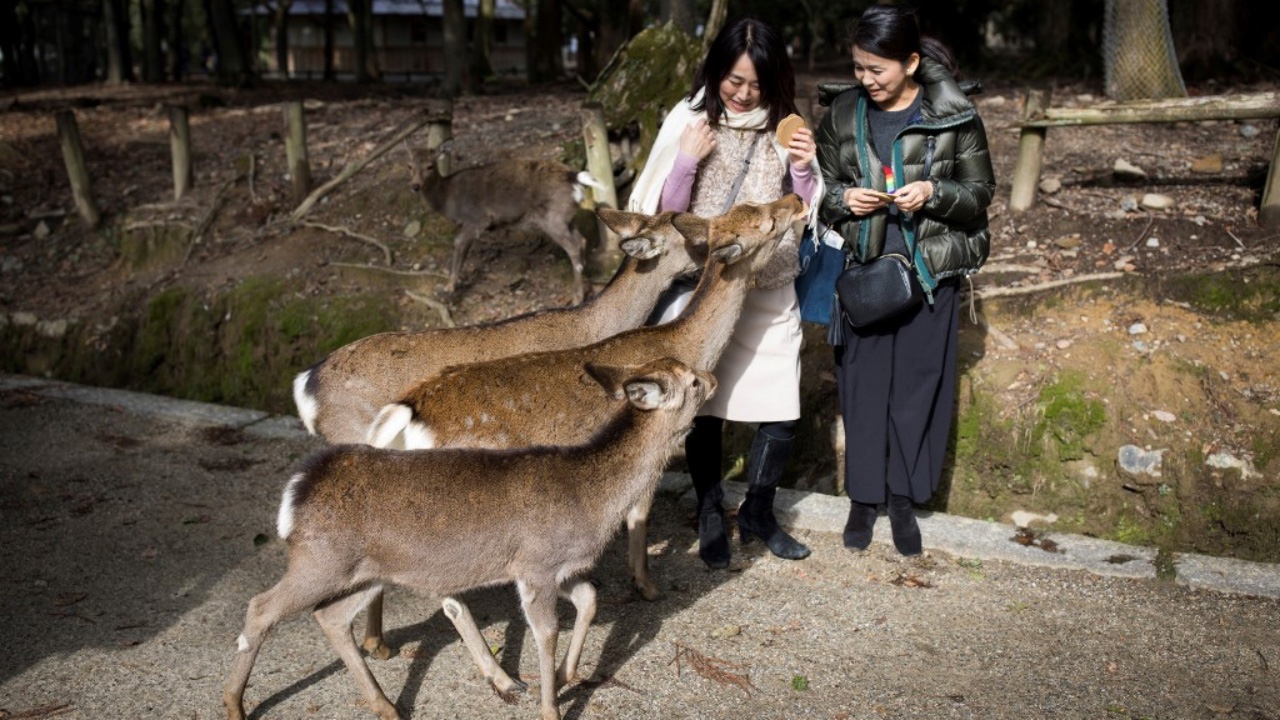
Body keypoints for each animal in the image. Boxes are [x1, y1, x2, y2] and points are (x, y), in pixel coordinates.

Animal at [224, 356, 716, 717]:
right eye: (692, 381)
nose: (713, 379)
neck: (593, 499)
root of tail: (297, 491)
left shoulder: (560, 568)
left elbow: (590, 600)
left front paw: (566, 676)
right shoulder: (535, 565)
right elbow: (546, 631)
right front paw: (550, 707)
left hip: (366, 572)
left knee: (329, 617)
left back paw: (386, 706)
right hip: (319, 561)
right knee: (260, 607)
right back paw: (234, 704)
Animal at [360, 196, 798, 671]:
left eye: (752, 206)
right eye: (767, 221)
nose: (795, 200)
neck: (684, 348)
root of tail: (407, 414)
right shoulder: (654, 449)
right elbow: (639, 515)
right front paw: (647, 586)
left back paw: (379, 643)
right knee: (449, 595)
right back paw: (500, 676)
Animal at [409, 142, 609, 302]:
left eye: (429, 166)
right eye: (409, 165)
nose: (415, 186)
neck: (450, 201)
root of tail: (574, 176)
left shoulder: (477, 219)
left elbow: (458, 243)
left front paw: (448, 288)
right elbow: (462, 248)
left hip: (554, 218)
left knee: (573, 246)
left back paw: (577, 297)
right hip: (567, 217)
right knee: (581, 239)